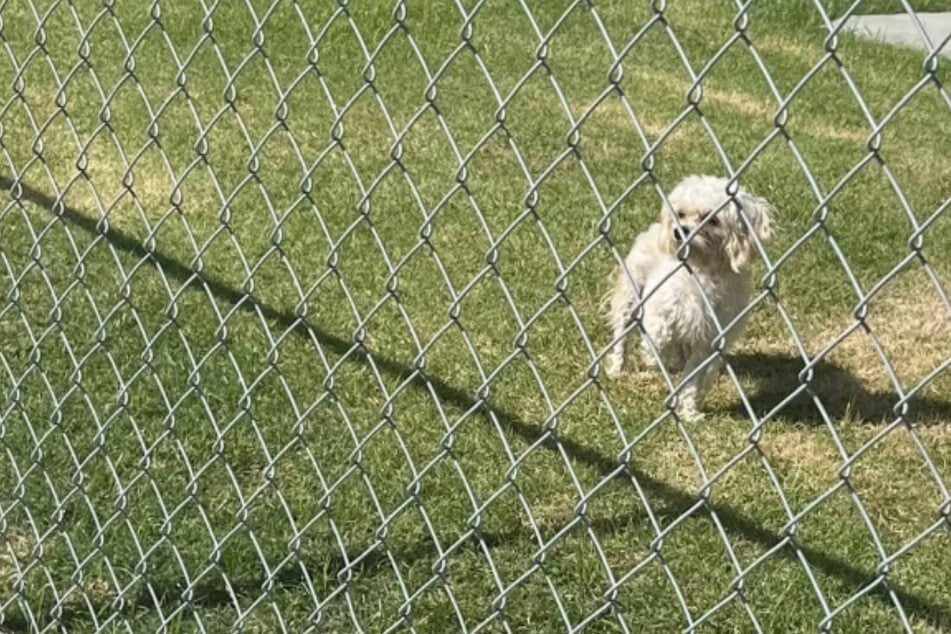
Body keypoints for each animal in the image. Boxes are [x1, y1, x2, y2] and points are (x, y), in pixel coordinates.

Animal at [608, 173, 776, 420]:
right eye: (681, 214)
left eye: (711, 220)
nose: (680, 231)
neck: (702, 272)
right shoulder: (660, 305)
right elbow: (657, 337)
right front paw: (653, 359)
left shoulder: (708, 341)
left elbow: (693, 381)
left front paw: (689, 412)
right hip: (631, 293)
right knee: (622, 334)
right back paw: (617, 367)